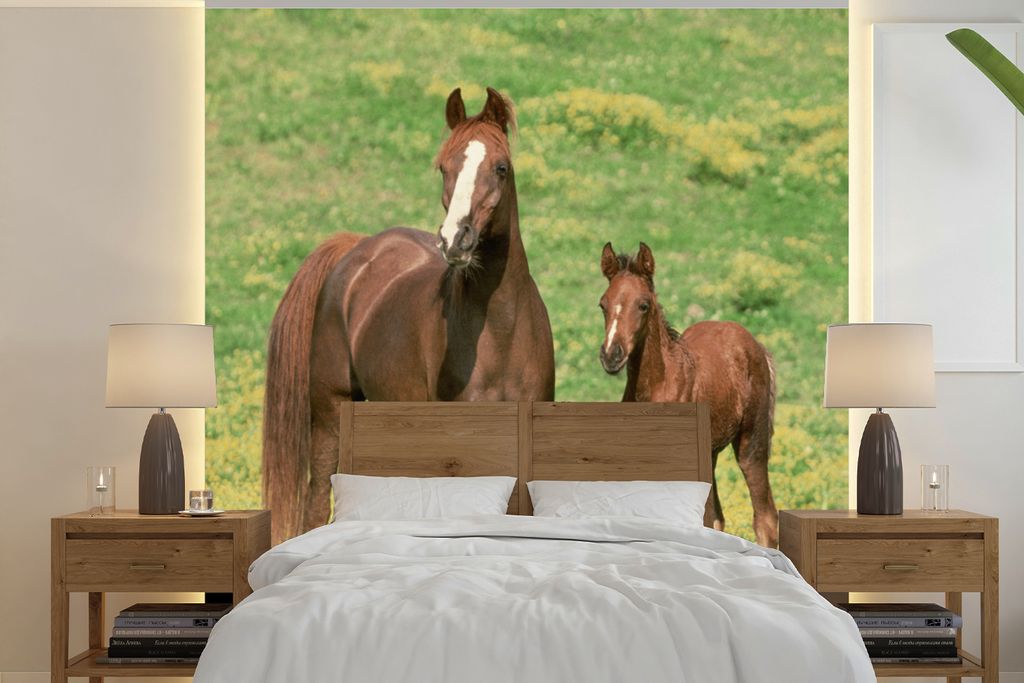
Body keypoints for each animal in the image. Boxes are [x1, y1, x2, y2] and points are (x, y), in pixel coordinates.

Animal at [263, 87, 555, 543]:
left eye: (501, 167)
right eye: (444, 167)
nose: (455, 240)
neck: (501, 336)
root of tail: (357, 249)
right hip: (329, 413)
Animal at [598, 242, 778, 547]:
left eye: (643, 305)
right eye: (603, 305)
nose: (611, 355)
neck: (658, 386)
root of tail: (754, 343)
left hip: (752, 440)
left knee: (765, 519)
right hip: (711, 450)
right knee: (716, 518)